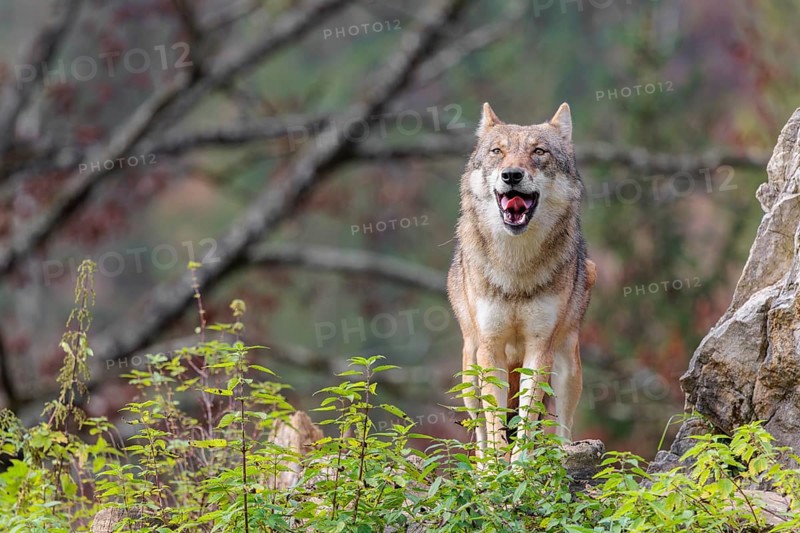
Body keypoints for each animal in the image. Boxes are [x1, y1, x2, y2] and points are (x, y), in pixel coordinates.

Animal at [447, 102, 595, 458]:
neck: (515, 268)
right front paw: (498, 465)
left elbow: (527, 419)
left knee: (563, 425)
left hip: (567, 366)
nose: (511, 175)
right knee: (480, 429)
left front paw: (519, 465)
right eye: (497, 152)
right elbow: (495, 422)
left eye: (538, 151)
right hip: (469, 368)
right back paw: (483, 464)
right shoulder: (490, 347)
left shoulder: (539, 349)